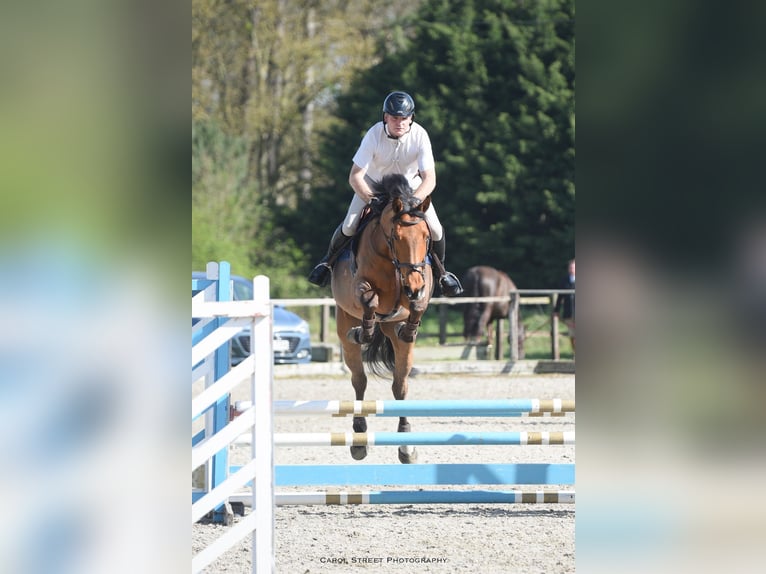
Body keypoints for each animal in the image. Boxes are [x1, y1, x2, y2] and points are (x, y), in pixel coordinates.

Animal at [330, 174, 434, 464]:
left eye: (426, 236)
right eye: (396, 237)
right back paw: (359, 438)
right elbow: (370, 301)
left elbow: (418, 305)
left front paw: (409, 328)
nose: (413, 286)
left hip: (399, 344)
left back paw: (406, 445)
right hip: (344, 326)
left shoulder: (422, 286)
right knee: (359, 380)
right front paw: (363, 331)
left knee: (400, 386)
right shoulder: (359, 289)